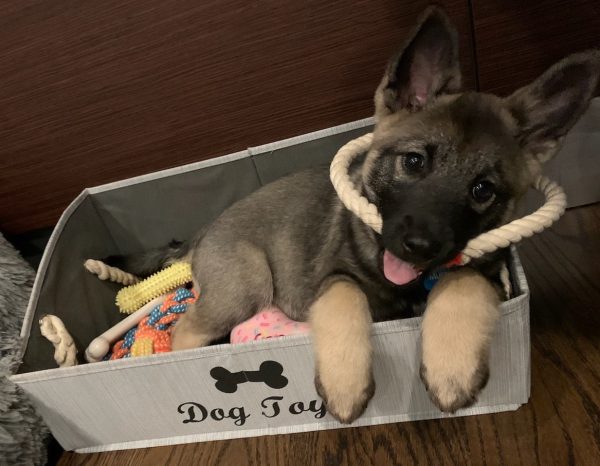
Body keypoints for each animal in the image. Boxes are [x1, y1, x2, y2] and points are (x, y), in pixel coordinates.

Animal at [105, 5, 596, 424]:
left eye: (482, 191)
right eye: (414, 162)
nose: (419, 247)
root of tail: (205, 230)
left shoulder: (486, 273)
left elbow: (462, 281)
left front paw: (450, 369)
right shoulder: (334, 274)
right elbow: (347, 299)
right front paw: (345, 385)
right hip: (247, 282)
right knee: (186, 329)